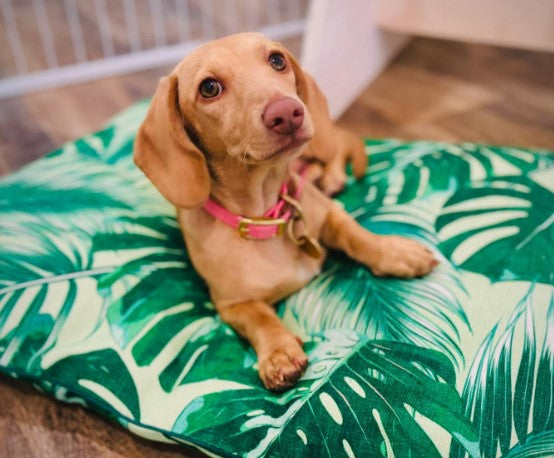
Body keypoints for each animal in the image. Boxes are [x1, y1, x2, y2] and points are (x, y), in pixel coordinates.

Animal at [134, 32, 436, 390]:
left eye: (276, 60)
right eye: (209, 88)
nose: (288, 113)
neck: (268, 216)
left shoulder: (328, 214)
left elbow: (356, 234)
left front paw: (394, 252)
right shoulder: (230, 304)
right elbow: (259, 318)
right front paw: (278, 351)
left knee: (335, 149)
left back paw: (332, 176)